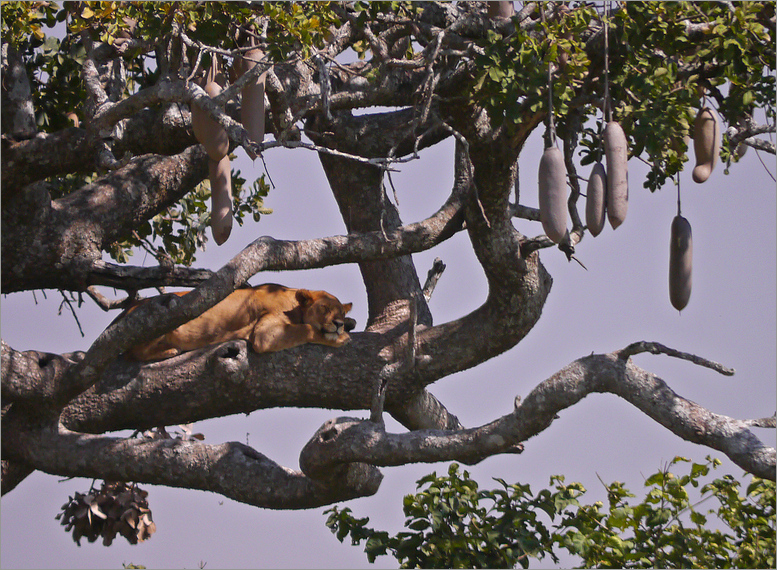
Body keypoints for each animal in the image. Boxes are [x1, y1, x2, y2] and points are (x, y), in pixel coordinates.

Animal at [126, 282, 356, 362]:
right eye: (324, 308)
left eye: (340, 312)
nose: (338, 323)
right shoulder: (264, 335)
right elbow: (307, 328)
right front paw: (340, 337)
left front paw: (350, 323)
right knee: (137, 352)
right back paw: (169, 351)